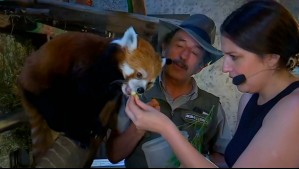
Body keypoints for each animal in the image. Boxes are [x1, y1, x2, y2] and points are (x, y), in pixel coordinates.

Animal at [17, 27, 165, 167]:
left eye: (149, 83)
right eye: (139, 74)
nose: (140, 90)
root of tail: (23, 80)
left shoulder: (104, 90)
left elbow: (95, 104)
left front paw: (94, 124)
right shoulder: (88, 69)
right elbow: (80, 101)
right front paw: (82, 129)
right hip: (46, 86)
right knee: (55, 108)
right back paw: (71, 131)